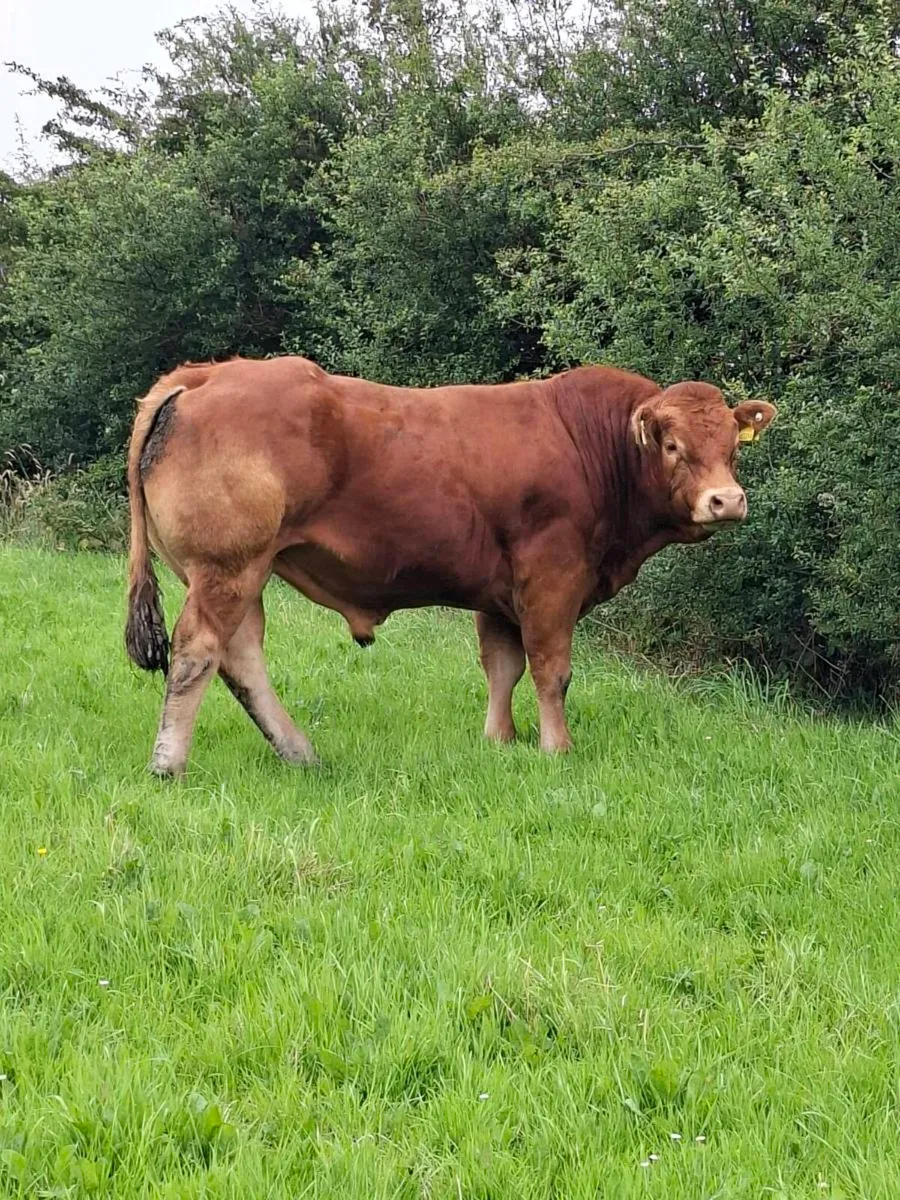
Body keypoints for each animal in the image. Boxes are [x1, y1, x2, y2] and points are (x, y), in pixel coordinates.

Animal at [125, 356, 775, 775]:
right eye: (671, 444)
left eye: (733, 446)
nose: (727, 500)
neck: (592, 445)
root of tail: (208, 372)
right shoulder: (553, 577)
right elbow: (551, 669)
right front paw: (556, 749)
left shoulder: (501, 592)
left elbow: (502, 668)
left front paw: (500, 741)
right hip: (228, 566)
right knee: (199, 650)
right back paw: (168, 763)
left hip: (242, 570)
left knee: (240, 657)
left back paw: (299, 753)